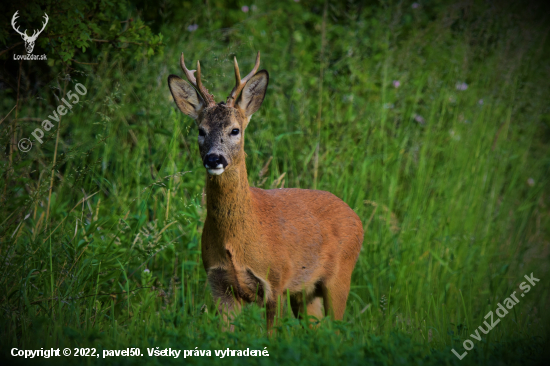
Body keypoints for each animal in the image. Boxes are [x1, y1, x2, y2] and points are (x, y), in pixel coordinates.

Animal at [169, 50, 366, 328]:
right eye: (201, 130)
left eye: (235, 130)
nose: (214, 158)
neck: (237, 241)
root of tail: (355, 216)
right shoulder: (219, 285)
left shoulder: (276, 281)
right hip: (306, 293)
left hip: (339, 278)